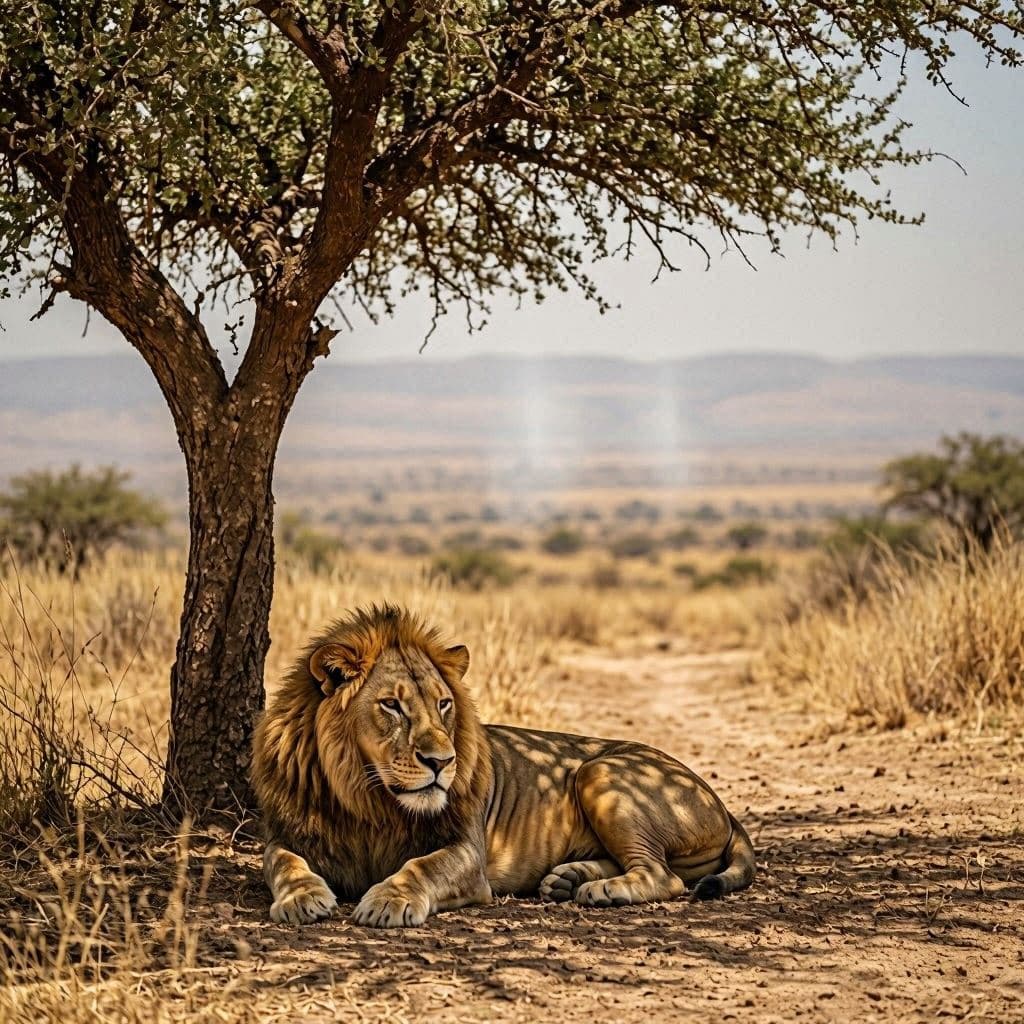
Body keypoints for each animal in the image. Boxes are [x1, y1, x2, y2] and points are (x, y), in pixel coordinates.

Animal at [251, 604, 755, 927]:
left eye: (444, 704)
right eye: (392, 705)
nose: (442, 762)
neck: (367, 799)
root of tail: (723, 805)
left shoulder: (467, 853)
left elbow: (421, 867)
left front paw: (388, 901)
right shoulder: (289, 833)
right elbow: (281, 862)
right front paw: (302, 897)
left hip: (599, 773)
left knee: (664, 875)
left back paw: (597, 890)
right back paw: (569, 879)